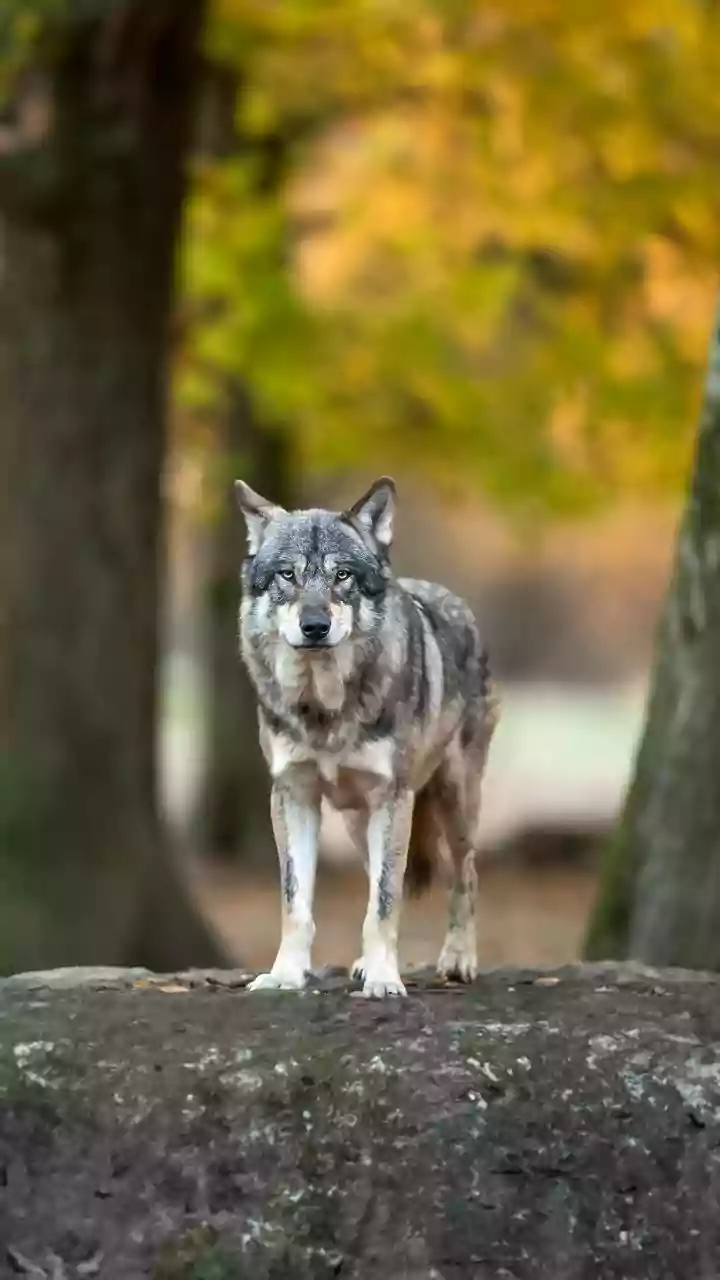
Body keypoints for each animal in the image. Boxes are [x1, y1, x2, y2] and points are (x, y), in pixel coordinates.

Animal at [235, 476, 499, 998]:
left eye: (342, 576)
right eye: (287, 575)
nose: (314, 626)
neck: (325, 710)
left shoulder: (392, 799)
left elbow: (384, 903)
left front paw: (383, 979)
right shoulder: (293, 796)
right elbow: (296, 904)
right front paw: (286, 974)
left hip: (453, 802)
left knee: (465, 874)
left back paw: (458, 960)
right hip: (360, 823)